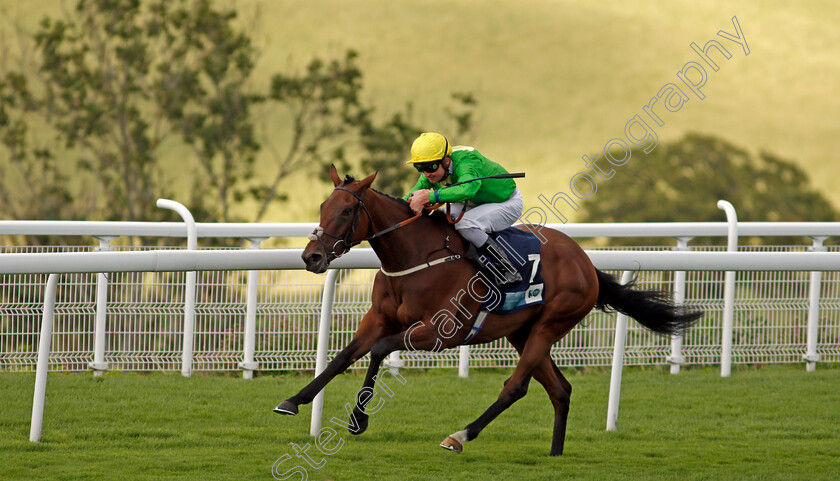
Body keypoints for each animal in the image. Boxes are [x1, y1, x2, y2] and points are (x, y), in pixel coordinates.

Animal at [276, 165, 704, 454]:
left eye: (348, 211)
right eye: (323, 205)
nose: (312, 256)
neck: (413, 257)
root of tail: (585, 262)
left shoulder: (440, 333)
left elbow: (380, 350)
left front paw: (357, 419)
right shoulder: (378, 319)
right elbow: (343, 357)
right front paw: (293, 401)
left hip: (551, 323)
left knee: (516, 386)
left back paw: (459, 436)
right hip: (522, 331)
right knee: (560, 390)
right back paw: (555, 455)